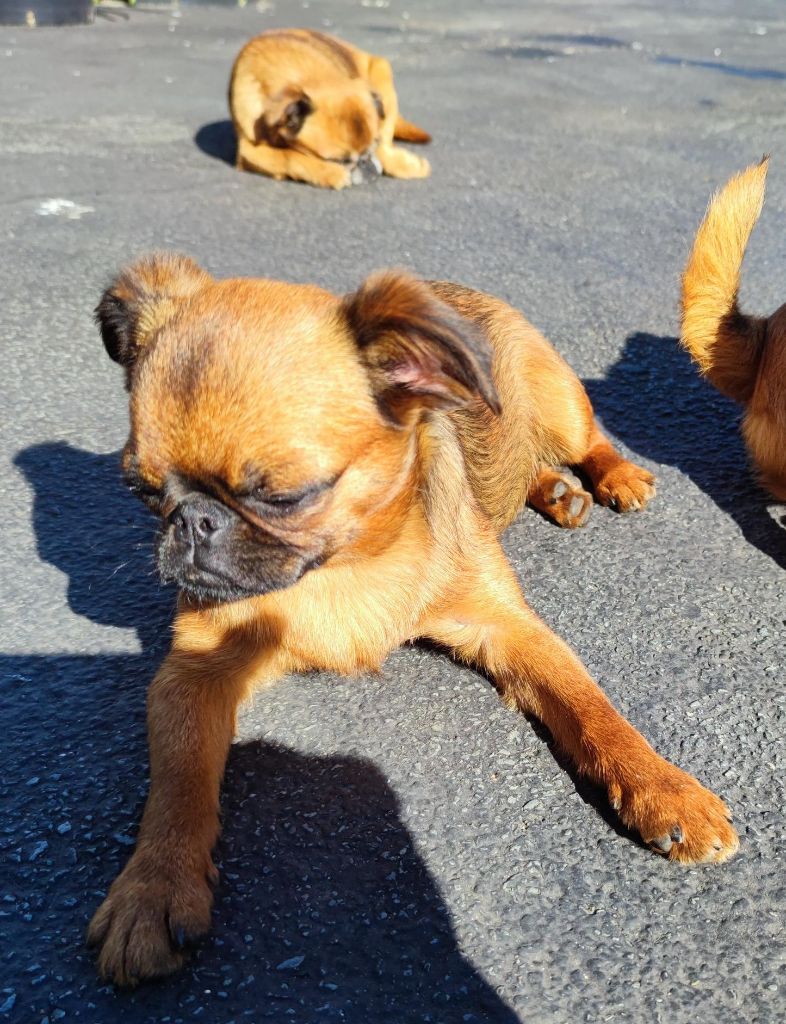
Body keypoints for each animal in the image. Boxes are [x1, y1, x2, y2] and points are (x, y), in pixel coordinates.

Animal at [89, 253, 740, 983]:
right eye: (143, 492)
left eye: (283, 498)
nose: (191, 522)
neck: (345, 564)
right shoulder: (192, 674)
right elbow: (176, 785)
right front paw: (153, 888)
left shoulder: (508, 627)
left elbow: (592, 709)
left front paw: (665, 790)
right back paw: (554, 491)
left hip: (559, 397)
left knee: (586, 437)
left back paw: (611, 477)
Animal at [227, 29, 433, 190]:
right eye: (339, 161)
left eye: (372, 147)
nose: (367, 164)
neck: (300, 79)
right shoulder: (248, 152)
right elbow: (289, 156)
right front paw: (330, 173)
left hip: (382, 75)